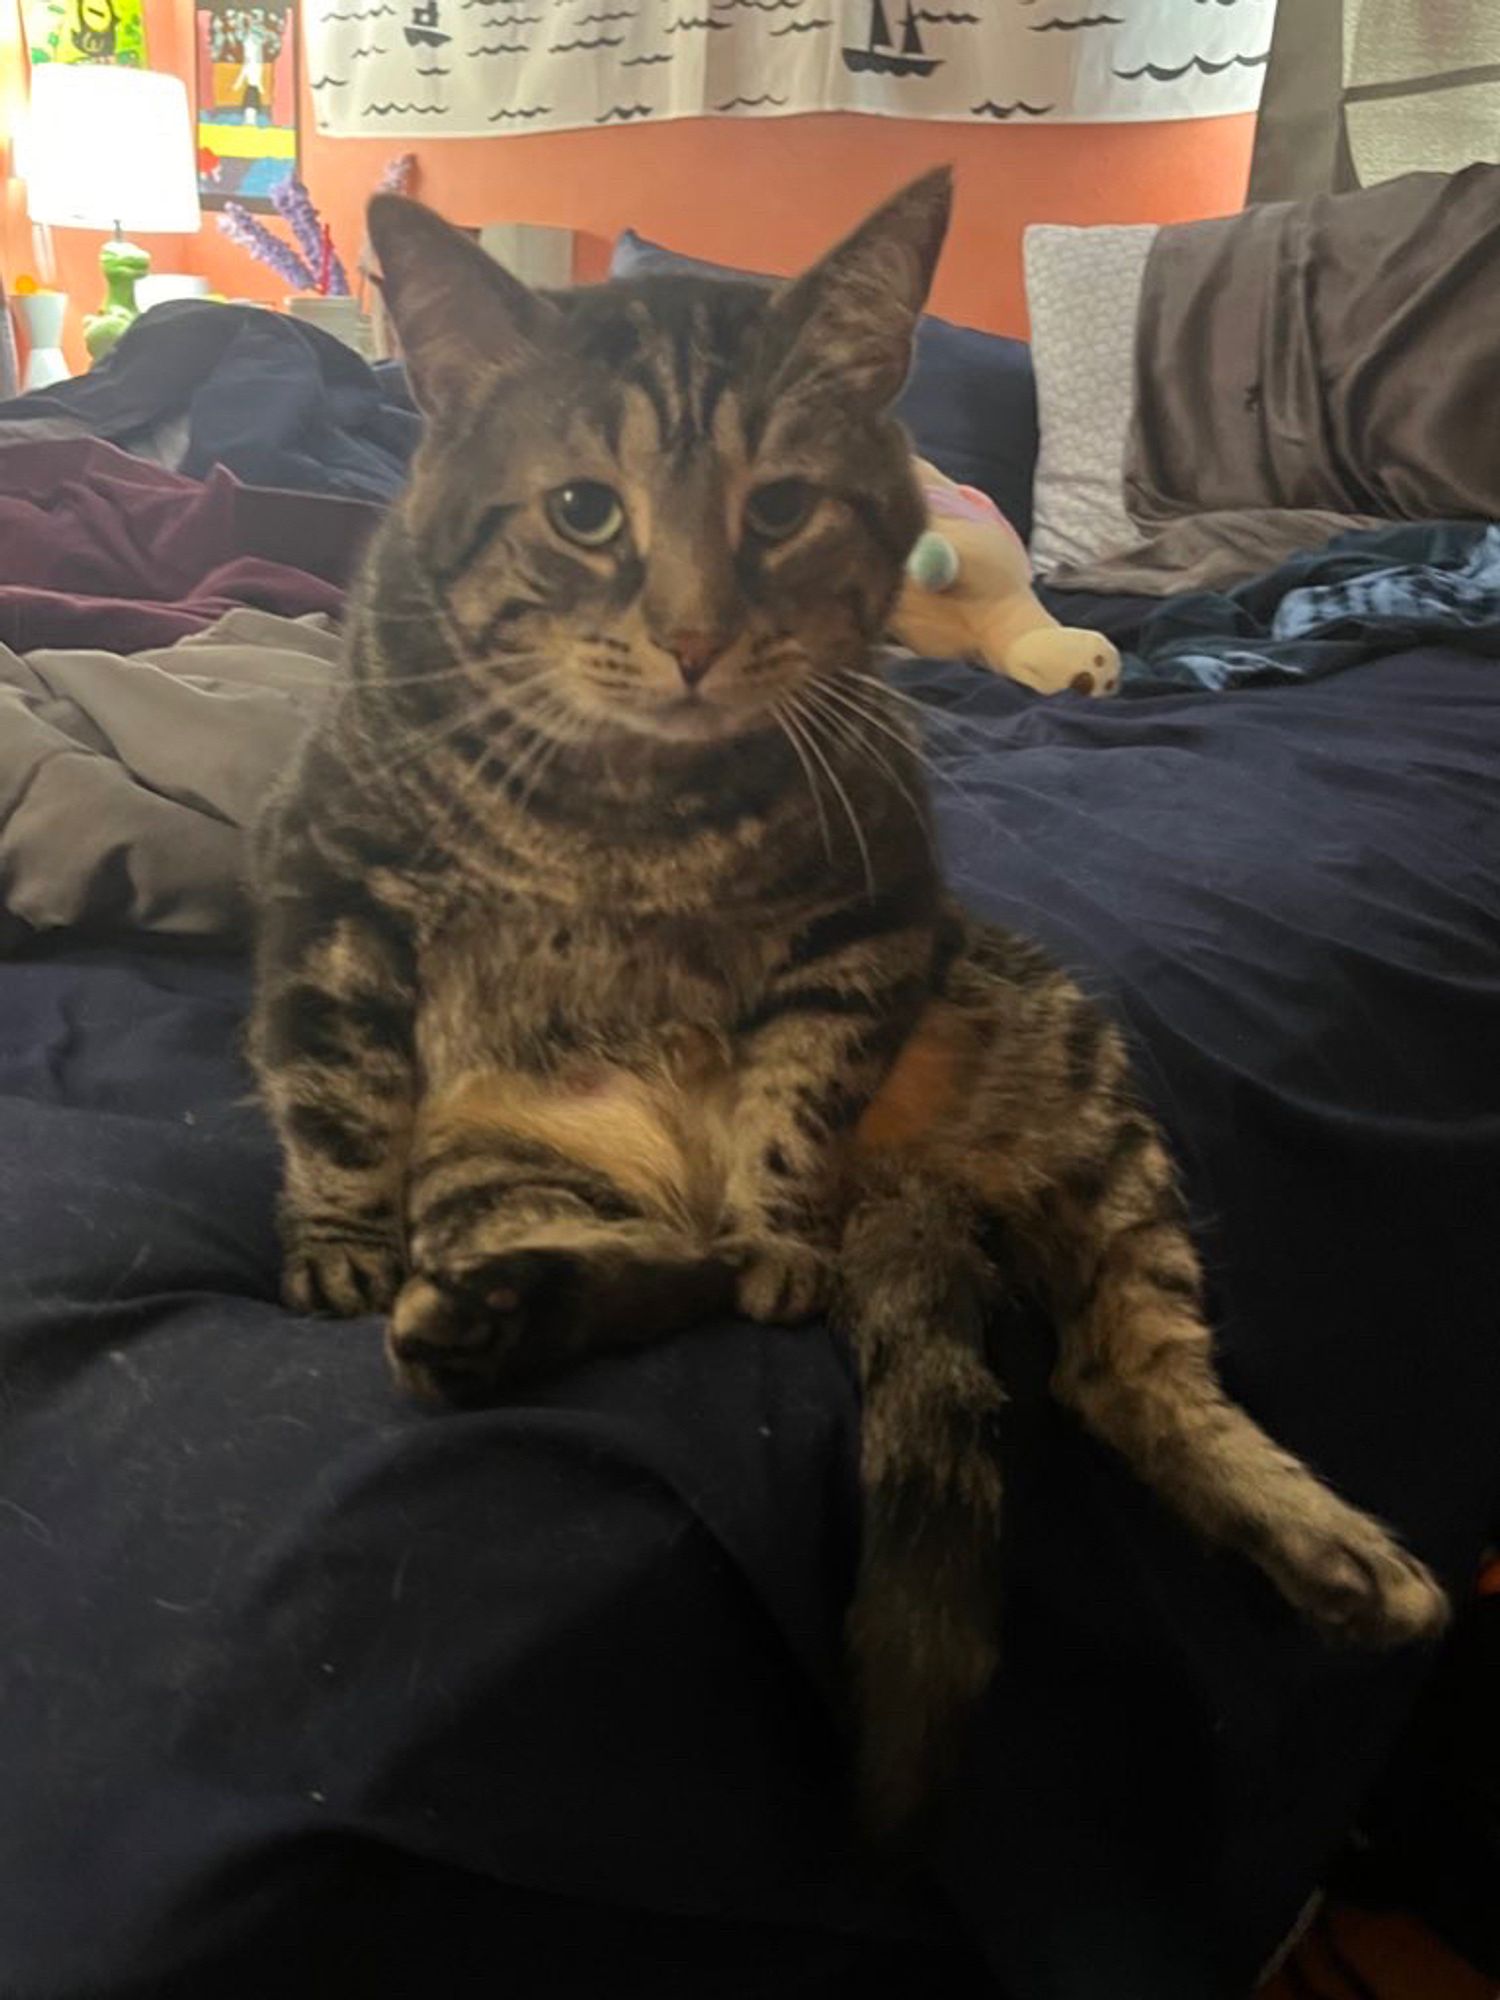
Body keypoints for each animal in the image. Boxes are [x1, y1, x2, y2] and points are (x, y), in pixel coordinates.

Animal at [253, 180, 1448, 1832]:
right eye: (585, 513)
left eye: (778, 511)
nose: (693, 638)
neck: (629, 806)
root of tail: (908, 1197)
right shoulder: (336, 883)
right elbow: (334, 1085)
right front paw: (336, 1241)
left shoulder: (868, 928)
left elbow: (789, 1108)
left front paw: (776, 1224)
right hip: (509, 1148)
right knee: (660, 1273)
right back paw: (487, 1317)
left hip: (1088, 1096)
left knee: (1119, 1368)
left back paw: (1328, 1546)